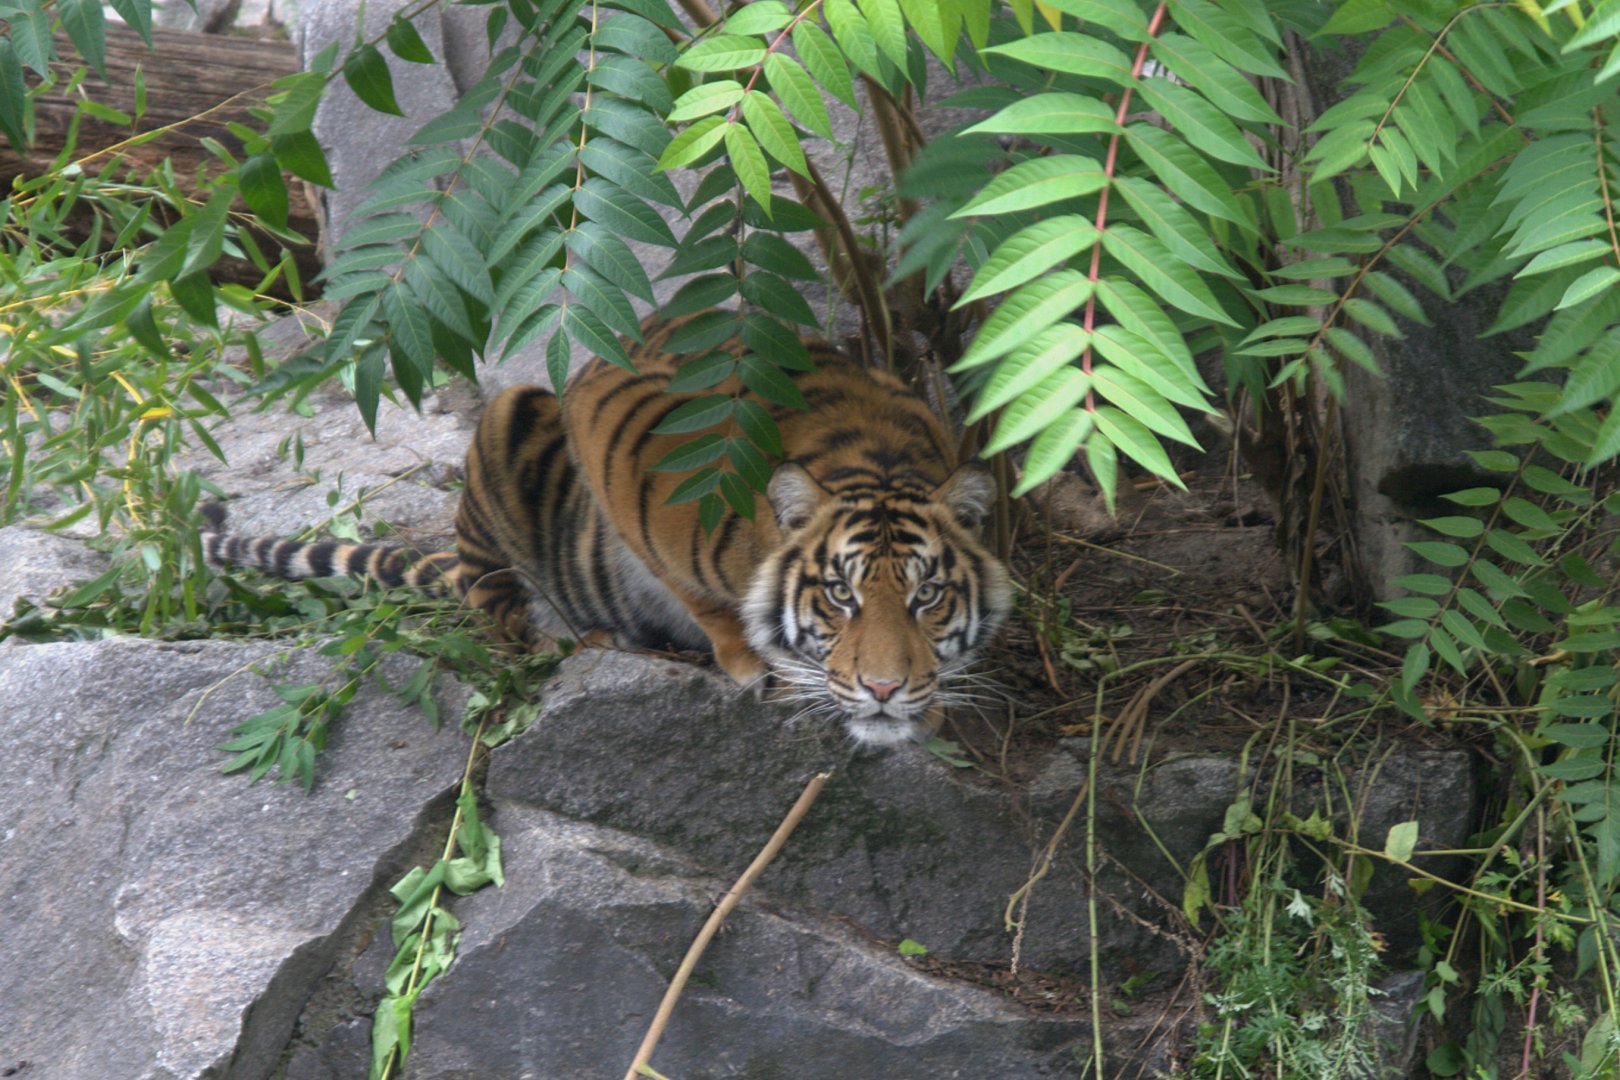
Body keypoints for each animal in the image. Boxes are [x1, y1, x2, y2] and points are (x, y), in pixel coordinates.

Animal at [202, 312, 1012, 747]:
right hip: (511, 424)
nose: (884, 688)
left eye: (927, 597)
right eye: (841, 596)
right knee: (507, 630)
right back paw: (584, 639)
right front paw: (748, 659)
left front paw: (929, 703)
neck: (874, 458)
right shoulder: (613, 426)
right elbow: (697, 594)